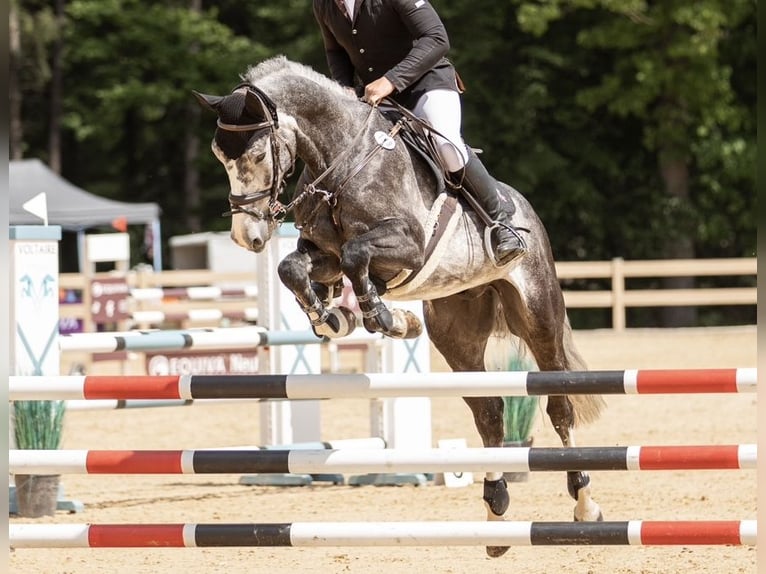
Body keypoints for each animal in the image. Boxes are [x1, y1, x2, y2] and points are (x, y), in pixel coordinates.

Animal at [196, 56, 608, 560]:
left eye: (256, 156)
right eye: (220, 157)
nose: (247, 237)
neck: (343, 161)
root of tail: (525, 208)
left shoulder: (407, 246)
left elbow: (356, 256)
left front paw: (384, 318)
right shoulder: (324, 254)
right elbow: (294, 266)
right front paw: (331, 317)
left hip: (539, 316)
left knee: (559, 406)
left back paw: (584, 505)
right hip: (456, 333)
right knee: (489, 414)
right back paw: (495, 516)